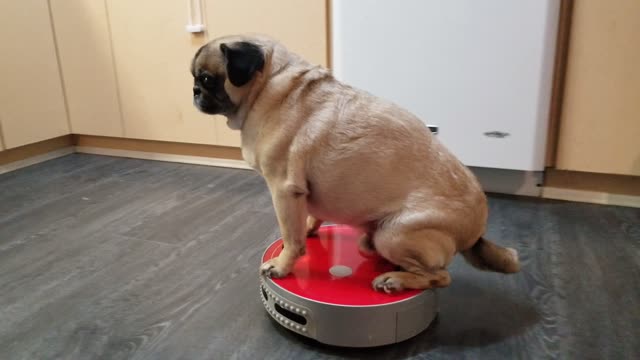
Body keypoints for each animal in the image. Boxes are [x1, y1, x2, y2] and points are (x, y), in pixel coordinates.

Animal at [191, 33, 520, 292]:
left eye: (206, 79)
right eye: (197, 79)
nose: (194, 91)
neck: (269, 85)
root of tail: (475, 231)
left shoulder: (283, 190)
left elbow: (291, 237)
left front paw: (283, 265)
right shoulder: (301, 194)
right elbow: (307, 219)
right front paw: (309, 227)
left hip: (394, 234)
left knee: (439, 276)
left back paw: (395, 280)